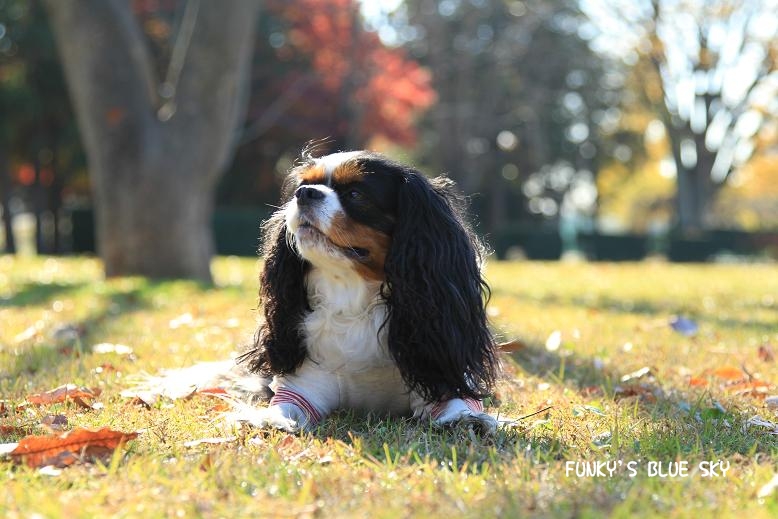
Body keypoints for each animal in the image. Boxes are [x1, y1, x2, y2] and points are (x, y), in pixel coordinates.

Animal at [235, 151, 498, 434]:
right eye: (303, 185)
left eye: (355, 194)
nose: (304, 193)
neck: (352, 300)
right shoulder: (303, 384)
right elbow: (286, 406)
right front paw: (273, 419)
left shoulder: (439, 378)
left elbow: (457, 403)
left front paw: (468, 419)